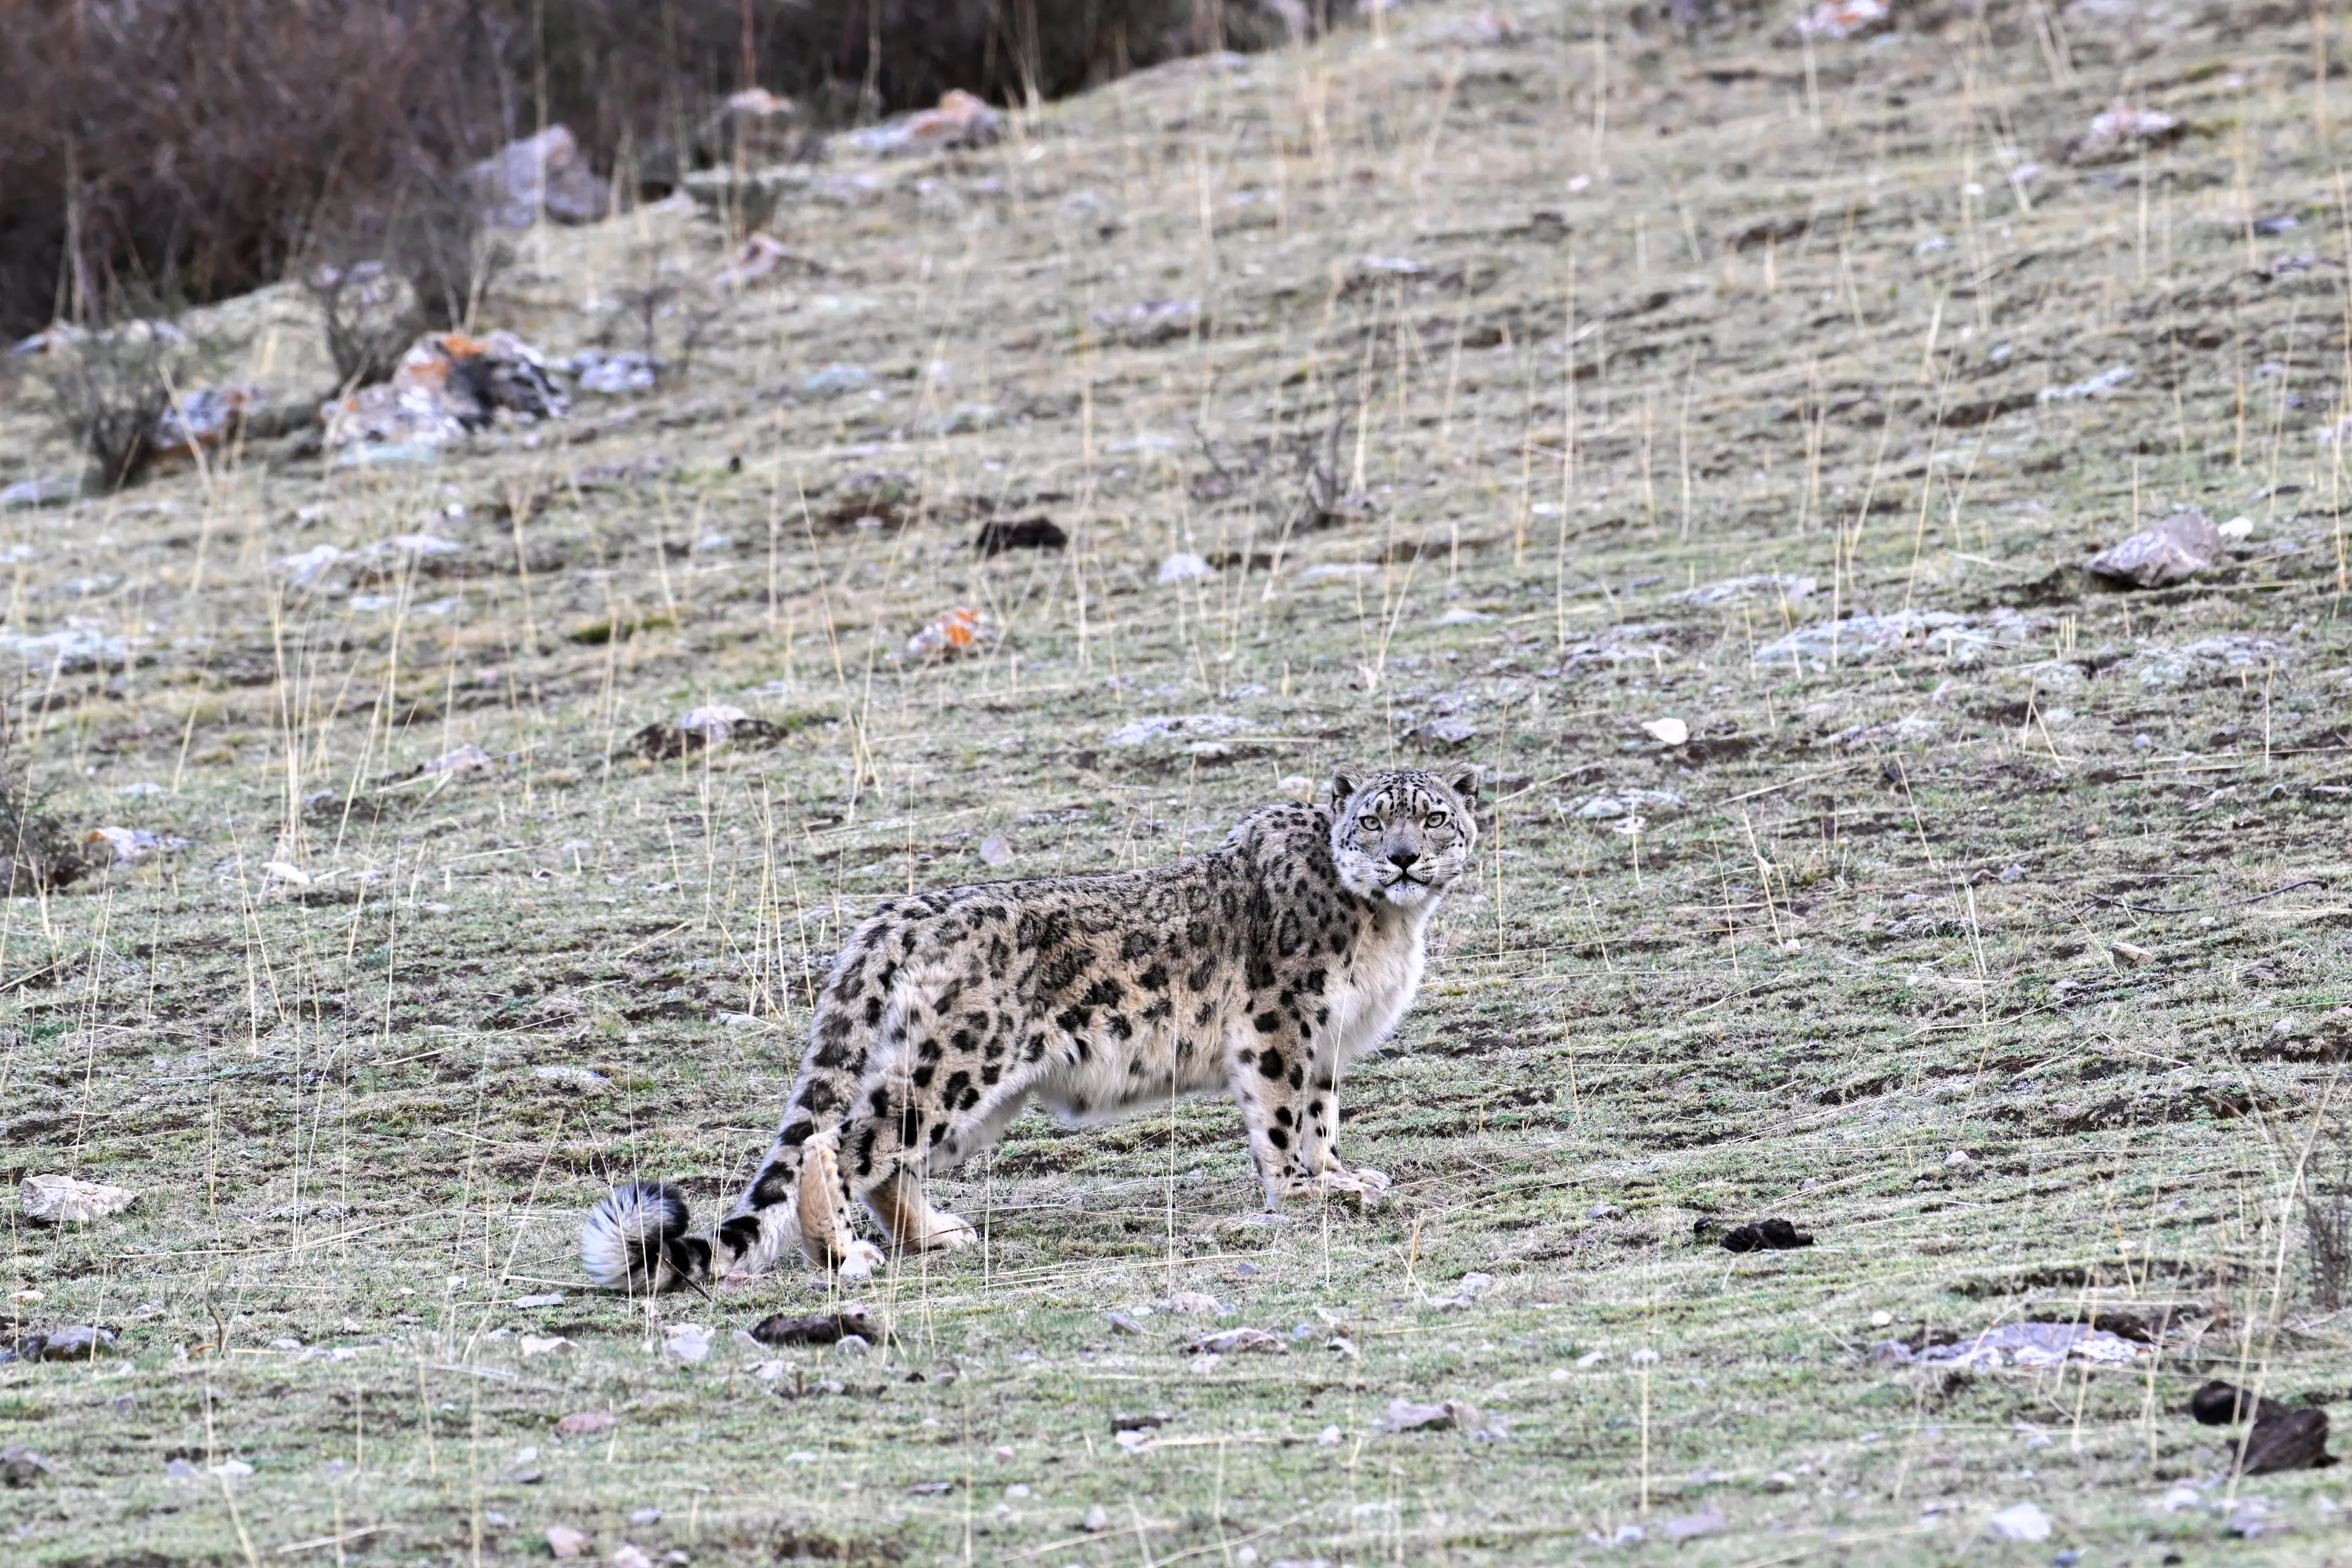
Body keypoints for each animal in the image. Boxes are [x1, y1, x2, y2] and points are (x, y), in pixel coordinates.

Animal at [581, 766, 1479, 1293]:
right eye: (1374, 820)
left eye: (1434, 818)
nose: (1403, 858)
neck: (1389, 927)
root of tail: (901, 910)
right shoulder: (1283, 1022)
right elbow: (1286, 1112)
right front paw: (1304, 1190)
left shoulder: (1326, 1039)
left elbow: (1321, 1113)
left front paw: (1340, 1175)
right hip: (960, 1061)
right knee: (838, 1141)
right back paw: (844, 1255)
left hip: (966, 1083)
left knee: (885, 1155)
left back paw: (934, 1234)